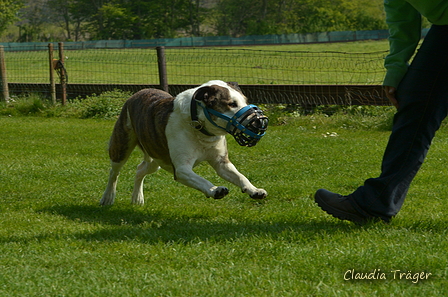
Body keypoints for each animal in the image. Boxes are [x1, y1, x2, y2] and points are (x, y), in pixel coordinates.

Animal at [100, 80, 268, 205]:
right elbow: (200, 180)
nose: (260, 121)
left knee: (140, 169)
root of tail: (137, 93)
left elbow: (240, 176)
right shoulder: (182, 169)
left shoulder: (222, 162)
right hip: (122, 145)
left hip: (157, 157)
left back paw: (137, 198)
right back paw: (108, 197)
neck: (199, 127)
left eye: (245, 101)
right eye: (231, 104)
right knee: (114, 172)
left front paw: (254, 190)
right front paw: (215, 190)